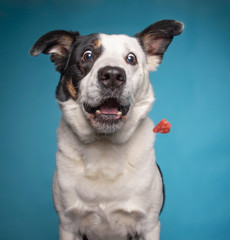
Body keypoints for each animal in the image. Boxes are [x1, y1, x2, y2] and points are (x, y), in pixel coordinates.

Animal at [30, 19, 183, 239]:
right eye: (87, 55)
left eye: (131, 59)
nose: (112, 75)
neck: (104, 145)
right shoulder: (67, 225)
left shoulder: (149, 225)